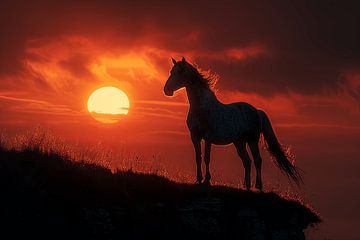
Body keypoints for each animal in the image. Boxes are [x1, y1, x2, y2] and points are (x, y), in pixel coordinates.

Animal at [163, 57, 300, 190]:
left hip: (252, 140)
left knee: (257, 160)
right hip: (239, 142)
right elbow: (198, 157)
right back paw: (247, 185)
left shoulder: (208, 138)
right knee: (247, 161)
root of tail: (257, 111)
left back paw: (258, 186)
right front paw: (198, 179)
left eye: (180, 72)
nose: (166, 90)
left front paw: (207, 180)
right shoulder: (195, 136)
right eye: (171, 72)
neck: (201, 107)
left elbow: (207, 158)